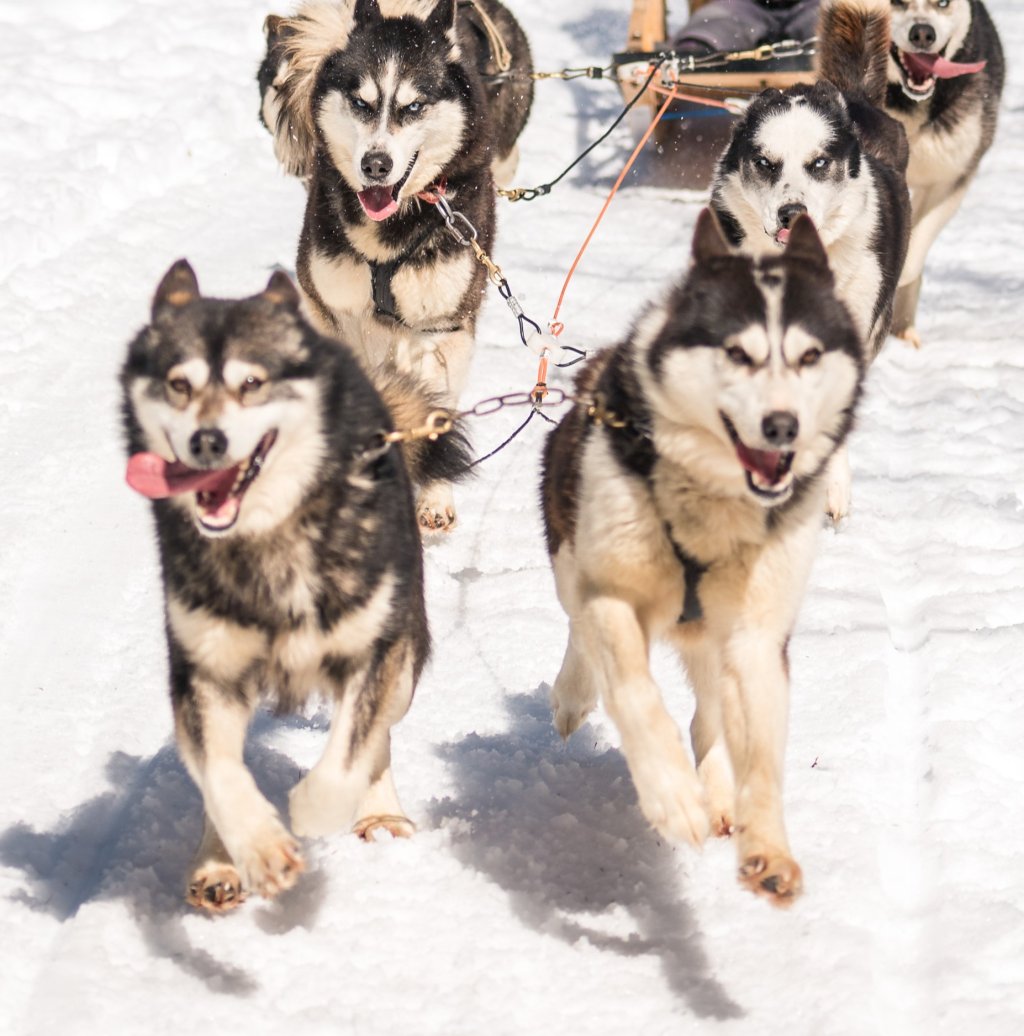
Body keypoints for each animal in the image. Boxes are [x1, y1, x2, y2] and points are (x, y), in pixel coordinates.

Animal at [121, 261, 470, 915]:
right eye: (178, 385)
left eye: (252, 382)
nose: (207, 441)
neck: (268, 540)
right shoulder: (207, 668)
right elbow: (220, 775)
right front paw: (244, 853)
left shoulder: (374, 651)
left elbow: (351, 752)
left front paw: (313, 810)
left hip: (403, 657)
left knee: (379, 736)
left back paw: (380, 814)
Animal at [256, 0, 530, 530]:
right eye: (361, 104)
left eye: (413, 107)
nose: (375, 165)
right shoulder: (331, 311)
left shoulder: (443, 328)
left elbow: (433, 410)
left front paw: (434, 497)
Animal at [543, 210, 862, 907]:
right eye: (738, 352)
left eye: (809, 356)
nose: (782, 426)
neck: (711, 505)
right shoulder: (612, 594)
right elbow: (633, 691)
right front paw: (670, 796)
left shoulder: (756, 632)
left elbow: (760, 756)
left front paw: (767, 846)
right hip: (571, 560)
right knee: (579, 632)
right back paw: (576, 698)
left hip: (714, 634)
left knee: (710, 714)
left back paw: (717, 792)